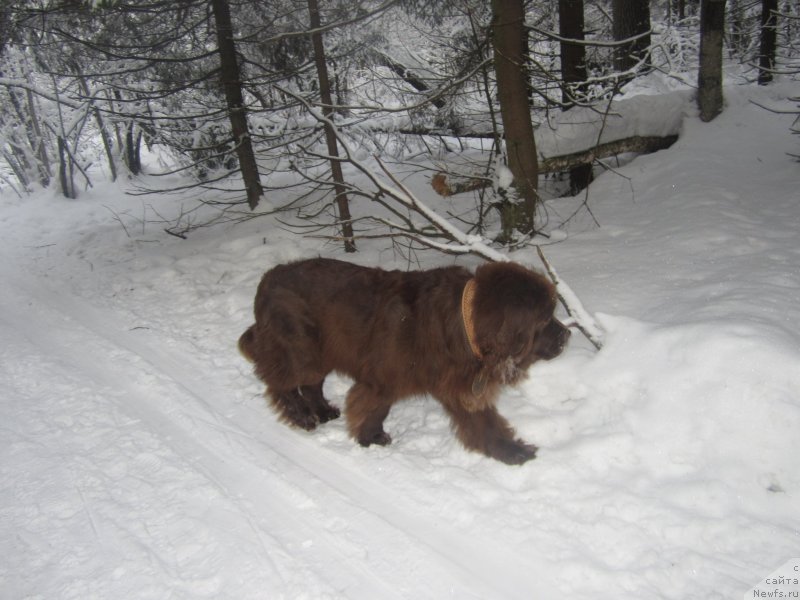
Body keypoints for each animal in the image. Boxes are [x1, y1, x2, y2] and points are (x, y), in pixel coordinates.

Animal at [238, 258, 568, 464]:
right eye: (545, 320)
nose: (567, 335)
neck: (465, 323)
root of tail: (266, 279)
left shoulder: (458, 386)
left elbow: (485, 423)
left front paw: (510, 451)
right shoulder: (382, 379)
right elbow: (375, 408)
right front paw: (370, 438)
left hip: (320, 351)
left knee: (310, 384)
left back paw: (322, 411)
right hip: (299, 347)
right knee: (281, 384)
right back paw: (302, 416)